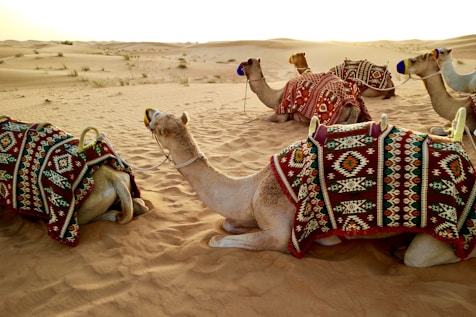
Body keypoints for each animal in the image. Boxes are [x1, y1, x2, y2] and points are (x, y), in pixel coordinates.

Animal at [144, 107, 476, 266]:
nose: (147, 111)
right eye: (159, 115)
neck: (253, 186)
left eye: (158, 123)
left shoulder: (280, 231)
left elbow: (217, 239)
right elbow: (227, 224)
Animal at [238, 57, 372, 124]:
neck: (275, 96)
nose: (239, 69)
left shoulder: (282, 114)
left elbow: (266, 118)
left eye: (244, 64)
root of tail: (353, 104)